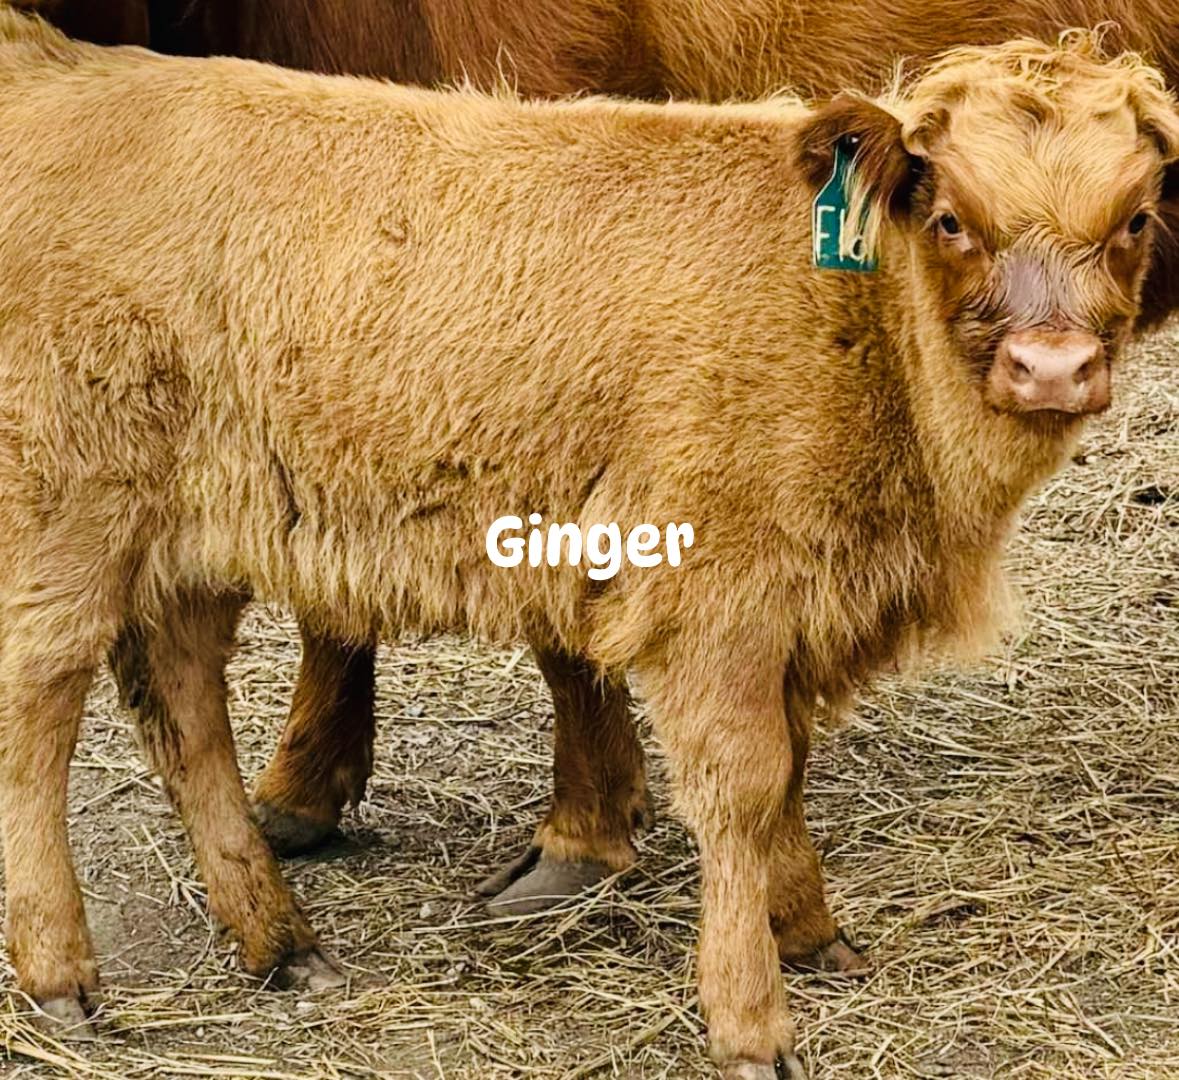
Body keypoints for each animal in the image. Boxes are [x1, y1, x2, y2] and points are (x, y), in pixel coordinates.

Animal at [1, 10, 1174, 1075]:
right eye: (953, 218)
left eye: (1133, 219)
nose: (1052, 366)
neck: (855, 321)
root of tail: (61, 67)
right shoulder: (718, 599)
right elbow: (745, 786)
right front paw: (750, 1019)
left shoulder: (791, 605)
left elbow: (787, 774)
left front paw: (809, 931)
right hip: (68, 510)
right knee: (39, 704)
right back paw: (61, 971)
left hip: (191, 534)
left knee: (187, 710)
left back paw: (280, 939)